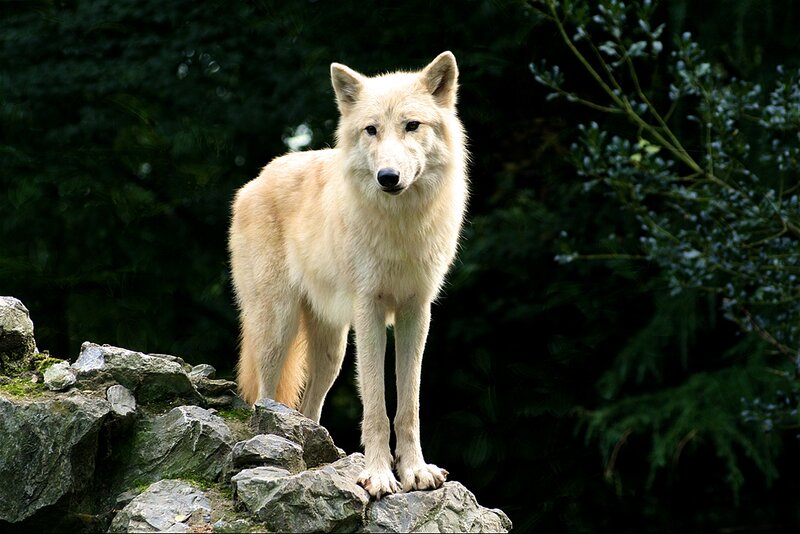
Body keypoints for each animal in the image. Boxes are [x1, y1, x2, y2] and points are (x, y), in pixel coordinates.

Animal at [228, 51, 468, 498]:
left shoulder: (416, 311)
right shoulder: (370, 311)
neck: (400, 225)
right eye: (371, 130)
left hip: (332, 351)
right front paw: (378, 475)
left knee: (309, 406)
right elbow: (375, 403)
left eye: (412, 125)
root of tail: (258, 178)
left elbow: (408, 404)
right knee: (264, 394)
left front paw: (415, 472)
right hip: (277, 328)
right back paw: (269, 442)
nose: (388, 177)